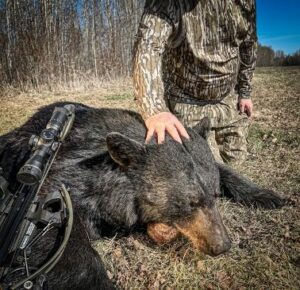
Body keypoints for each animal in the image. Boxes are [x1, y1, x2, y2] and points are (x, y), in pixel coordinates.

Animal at [0, 102, 284, 288]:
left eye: (214, 196)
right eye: (189, 203)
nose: (223, 245)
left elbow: (225, 169)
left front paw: (269, 196)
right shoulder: (62, 180)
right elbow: (59, 234)